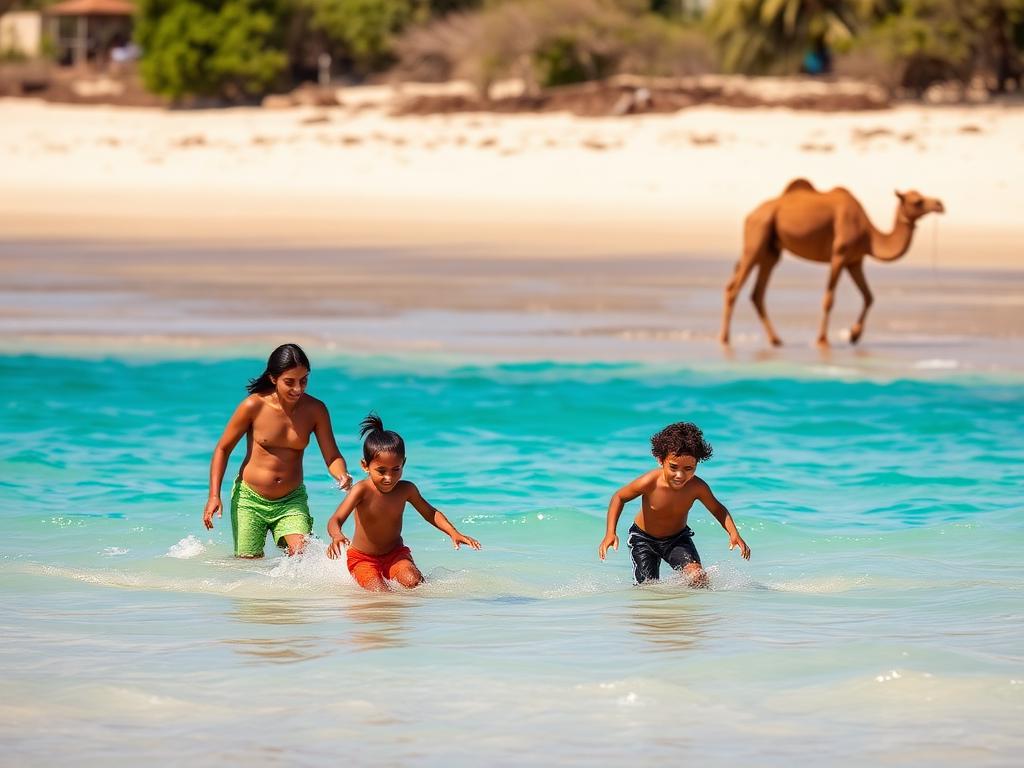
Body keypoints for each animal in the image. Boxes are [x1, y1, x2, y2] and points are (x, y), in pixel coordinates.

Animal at [719, 179, 945, 347]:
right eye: (917, 201)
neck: (868, 235)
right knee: (734, 288)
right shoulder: (839, 255)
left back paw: (776, 340)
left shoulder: (855, 261)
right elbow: (829, 299)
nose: (940, 204)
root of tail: (751, 214)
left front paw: (854, 335)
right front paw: (822, 340)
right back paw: (725, 339)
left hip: (771, 250)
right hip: (757, 236)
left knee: (757, 293)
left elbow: (869, 296)